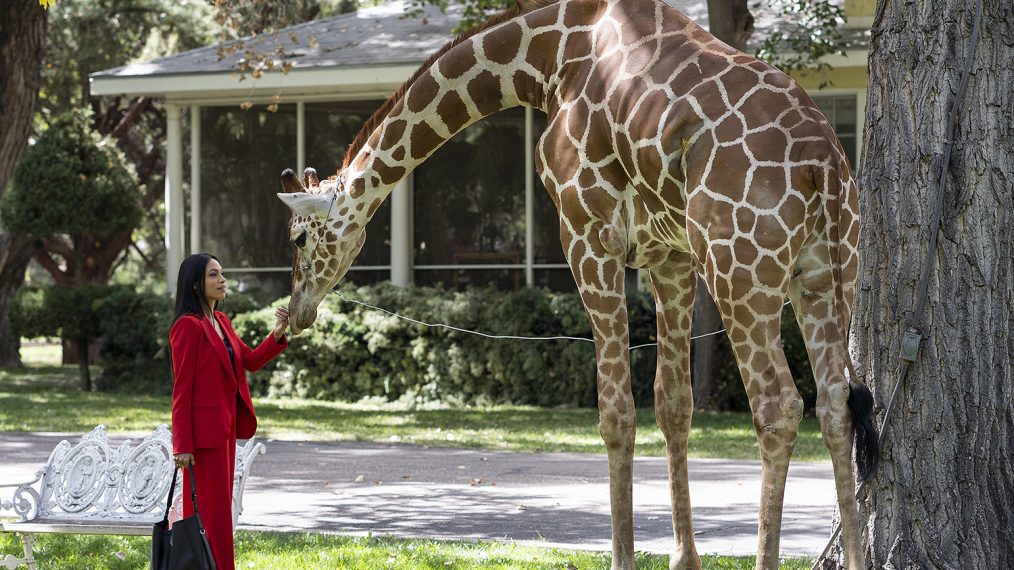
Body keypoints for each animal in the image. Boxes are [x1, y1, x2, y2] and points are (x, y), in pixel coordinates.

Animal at [275, 2, 880, 563]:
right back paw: (853, 558)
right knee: (835, 402)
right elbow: (672, 404)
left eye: (299, 239)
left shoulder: (587, 233)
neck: (547, 58)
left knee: (778, 407)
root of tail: (823, 163)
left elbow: (615, 413)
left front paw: (624, 559)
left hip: (740, 270)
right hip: (824, 273)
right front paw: (683, 559)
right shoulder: (670, 256)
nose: (293, 313)